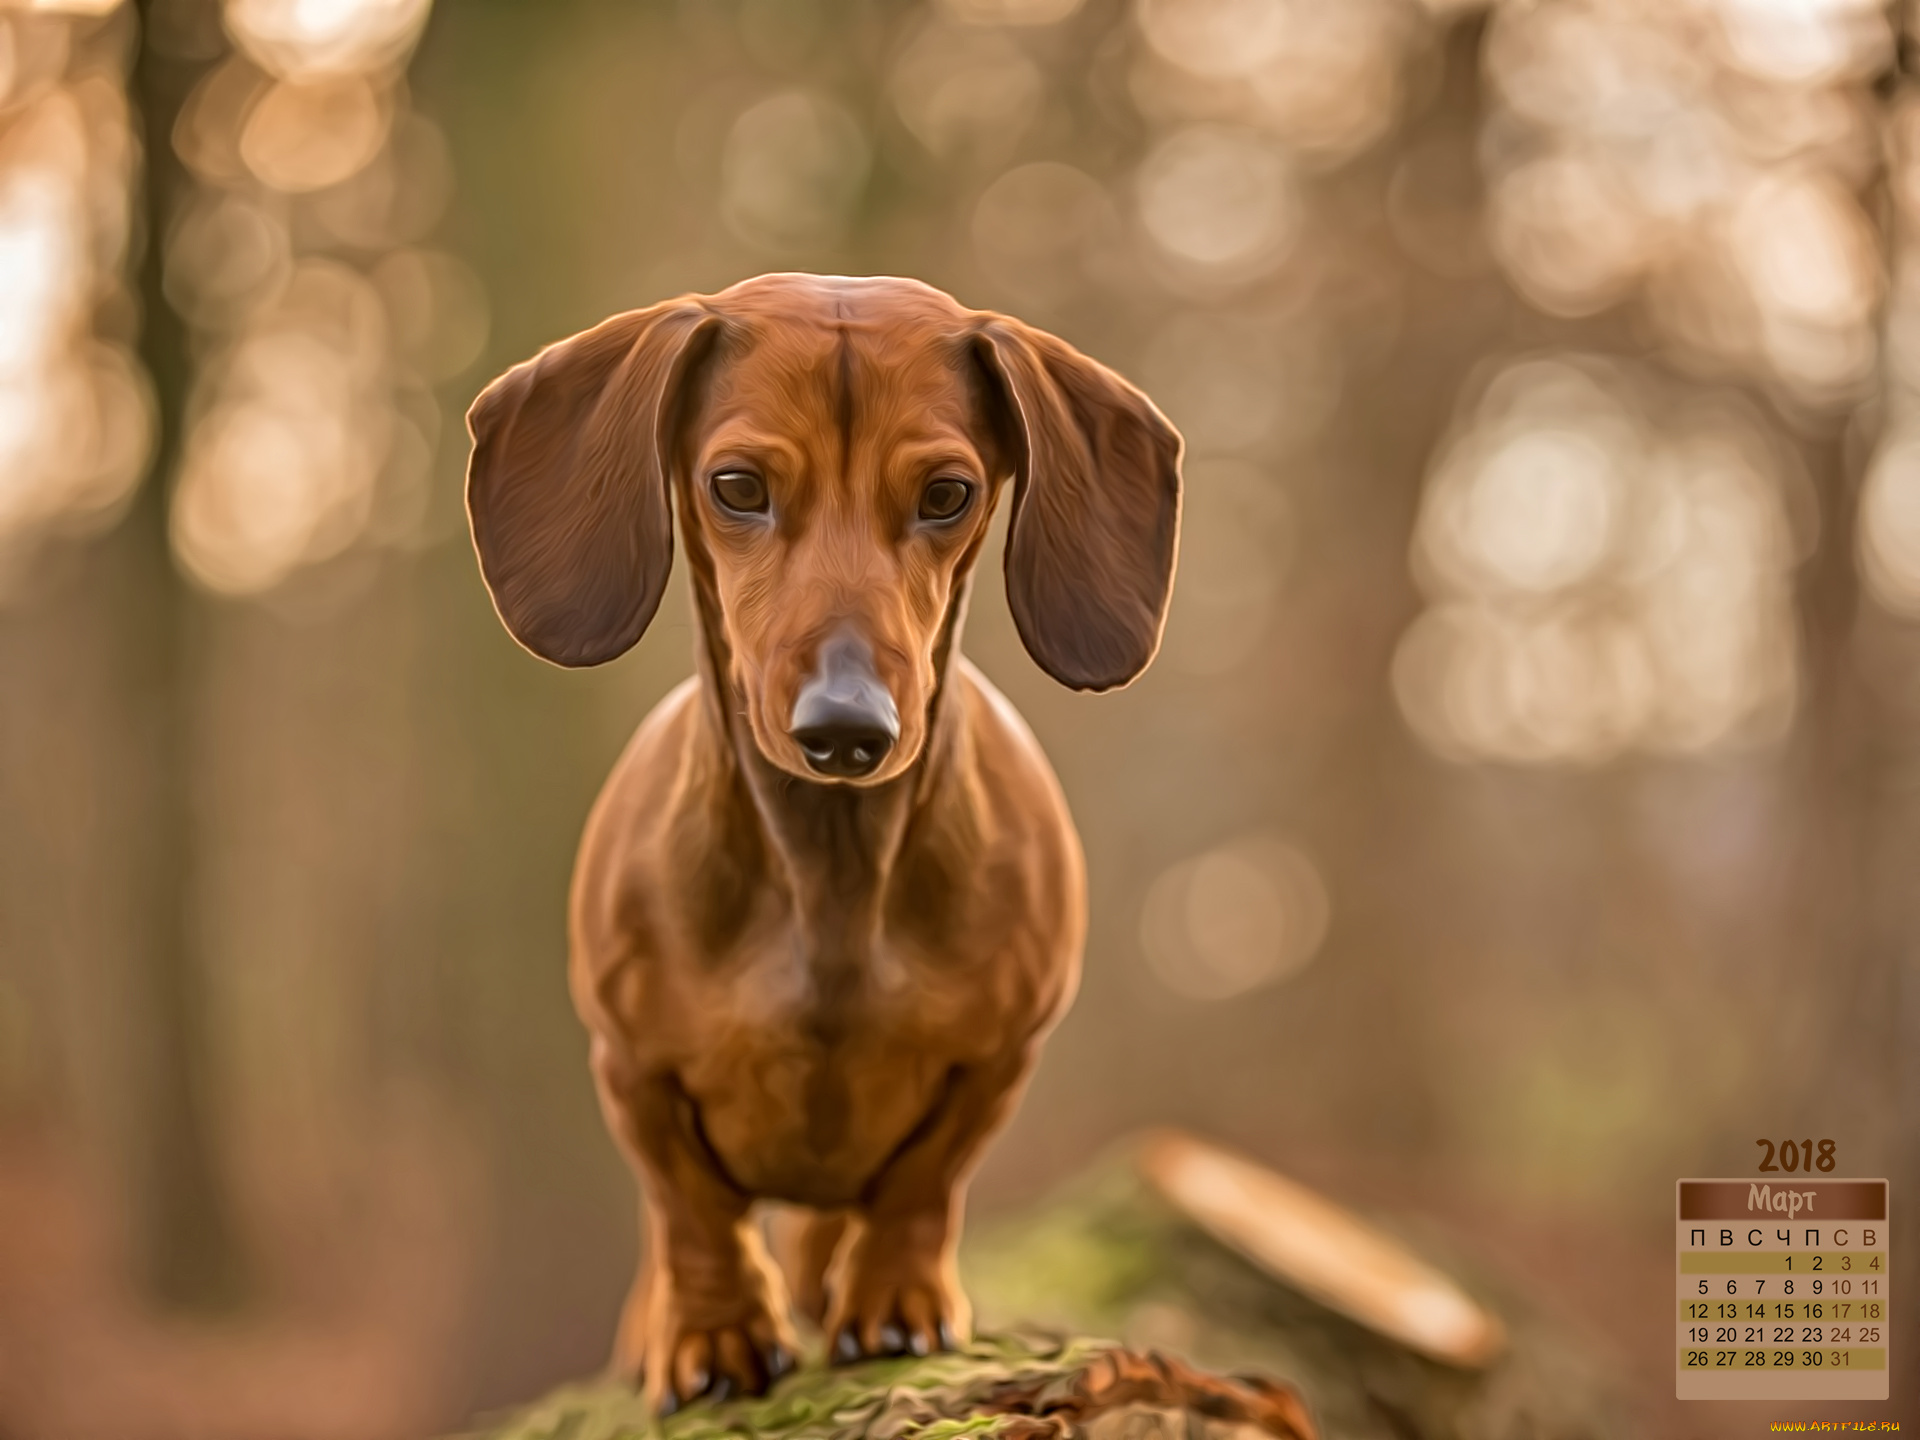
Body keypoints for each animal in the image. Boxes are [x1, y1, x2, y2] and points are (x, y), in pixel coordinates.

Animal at [466, 270, 1182, 1413]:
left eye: (947, 494)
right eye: (736, 485)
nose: (845, 730)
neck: (830, 874)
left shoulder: (1001, 1053)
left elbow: (924, 1181)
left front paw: (893, 1301)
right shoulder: (629, 1066)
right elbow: (692, 1209)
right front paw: (713, 1335)